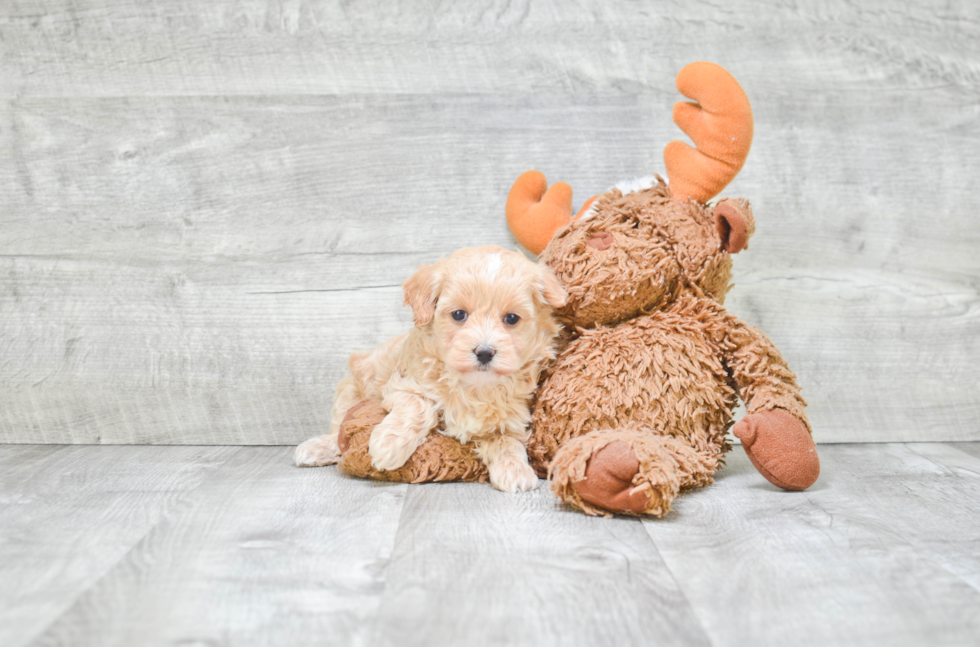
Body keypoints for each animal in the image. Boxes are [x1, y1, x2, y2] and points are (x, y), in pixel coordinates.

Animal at [292, 246, 568, 494]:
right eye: (459, 315)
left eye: (511, 319)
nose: (484, 352)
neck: (474, 386)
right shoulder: (402, 385)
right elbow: (418, 406)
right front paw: (389, 444)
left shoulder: (510, 419)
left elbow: (506, 442)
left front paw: (515, 471)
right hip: (350, 387)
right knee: (338, 428)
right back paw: (316, 448)